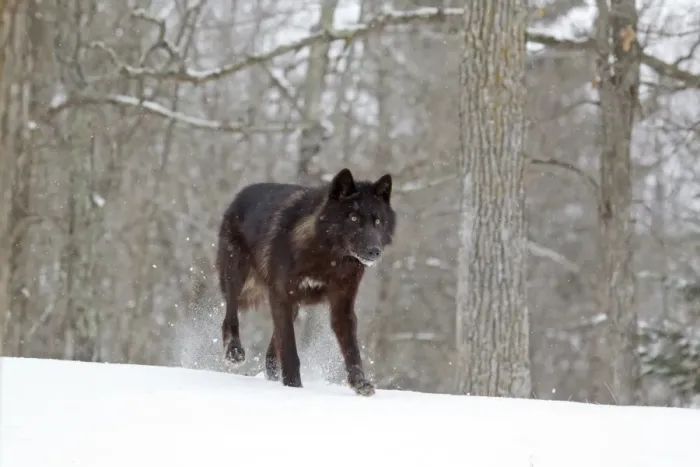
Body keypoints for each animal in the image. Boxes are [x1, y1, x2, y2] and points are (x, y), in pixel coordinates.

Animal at [215, 168, 396, 396]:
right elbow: (290, 349)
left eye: (378, 221)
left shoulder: (342, 305)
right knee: (230, 316)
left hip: (291, 307)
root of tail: (241, 194)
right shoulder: (282, 296)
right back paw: (234, 352)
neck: (327, 256)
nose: (374, 251)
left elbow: (352, 350)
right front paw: (294, 386)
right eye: (354, 218)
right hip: (237, 277)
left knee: (271, 352)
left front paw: (360, 383)